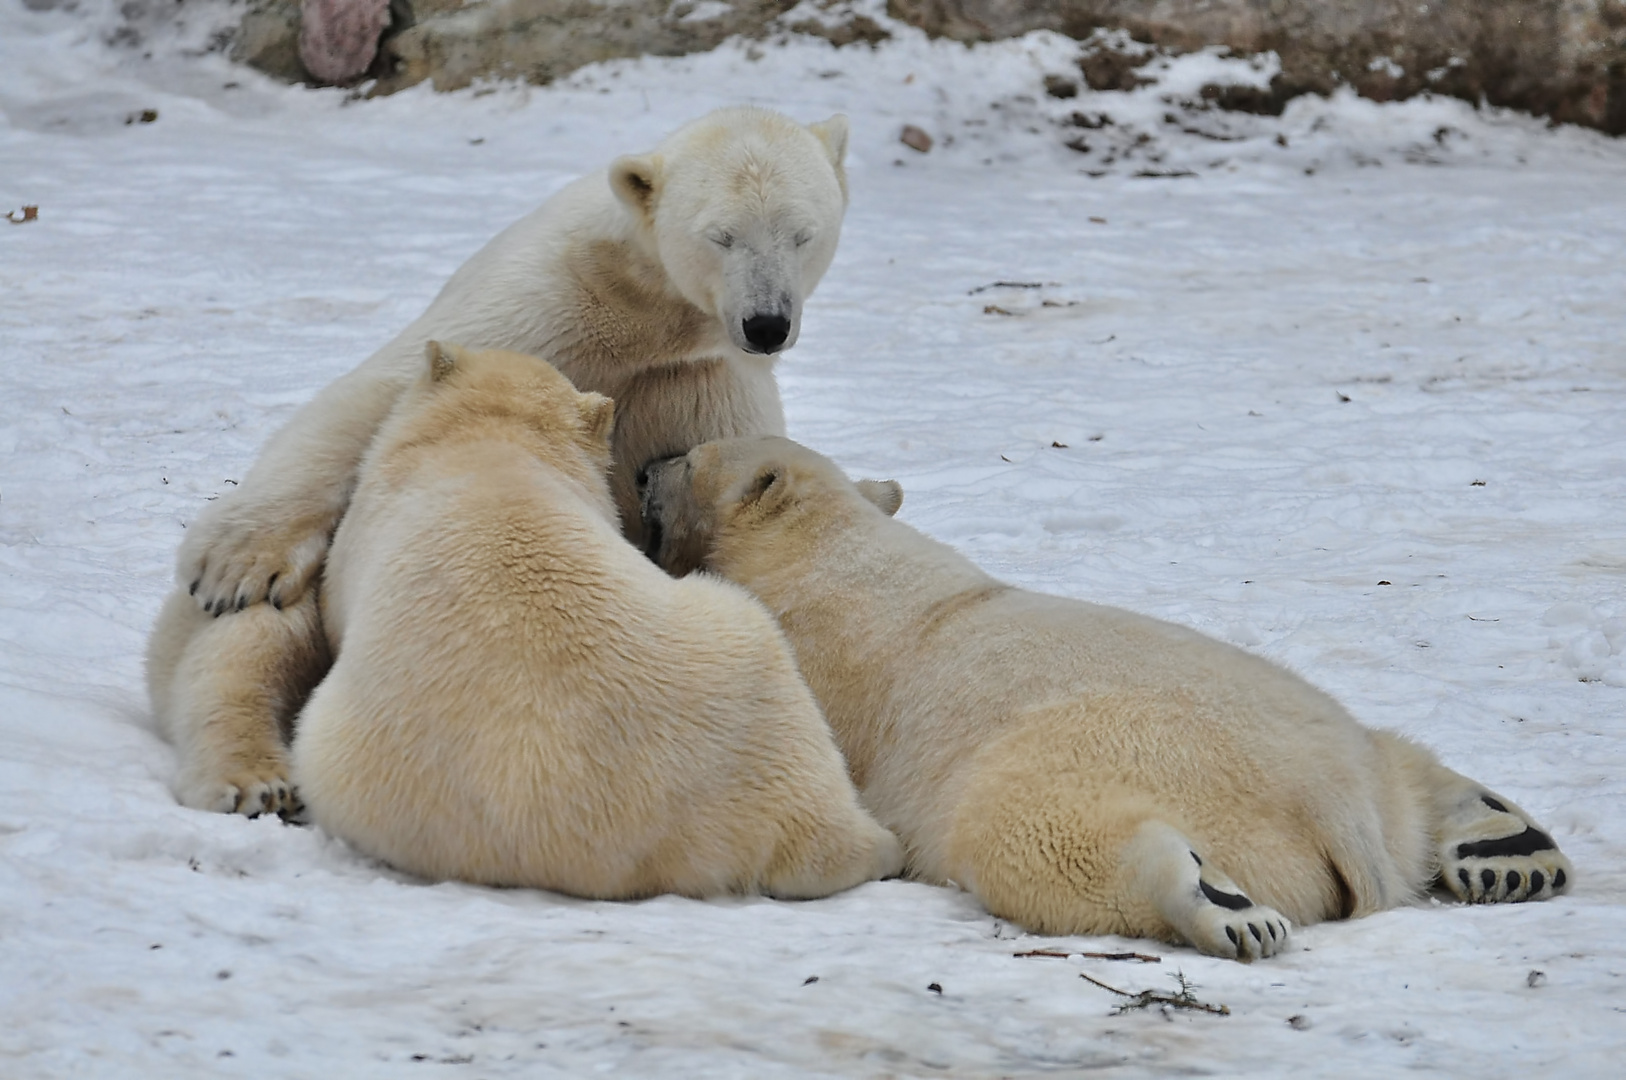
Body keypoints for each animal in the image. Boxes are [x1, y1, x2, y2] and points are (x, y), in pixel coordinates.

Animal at [149, 107, 852, 819]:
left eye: (802, 234)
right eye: (721, 236)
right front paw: (232, 566)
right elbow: (374, 401)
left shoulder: (704, 383)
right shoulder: (540, 303)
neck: (644, 319)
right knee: (248, 643)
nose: (766, 323)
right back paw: (250, 775)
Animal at [643, 439, 1573, 962]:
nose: (648, 464)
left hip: (1109, 755)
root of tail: (1333, 811)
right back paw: (1511, 849)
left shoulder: (818, 655)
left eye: (689, 456)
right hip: (1337, 737)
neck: (832, 547)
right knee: (1404, 760)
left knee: (1038, 836)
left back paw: (1226, 913)